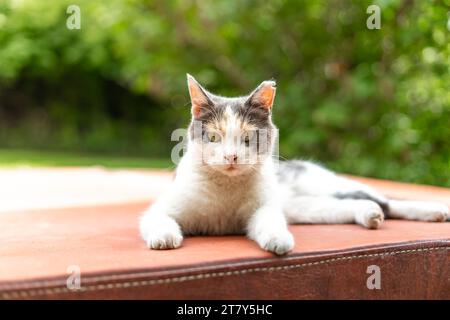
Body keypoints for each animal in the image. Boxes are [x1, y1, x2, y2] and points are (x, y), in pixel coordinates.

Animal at [139, 74, 448, 255]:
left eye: (249, 137)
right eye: (213, 137)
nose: (231, 157)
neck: (225, 189)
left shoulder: (264, 208)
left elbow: (269, 221)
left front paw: (279, 240)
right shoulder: (162, 207)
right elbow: (157, 218)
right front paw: (165, 237)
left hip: (322, 185)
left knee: (387, 200)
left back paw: (434, 211)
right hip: (307, 207)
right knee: (359, 205)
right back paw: (370, 215)